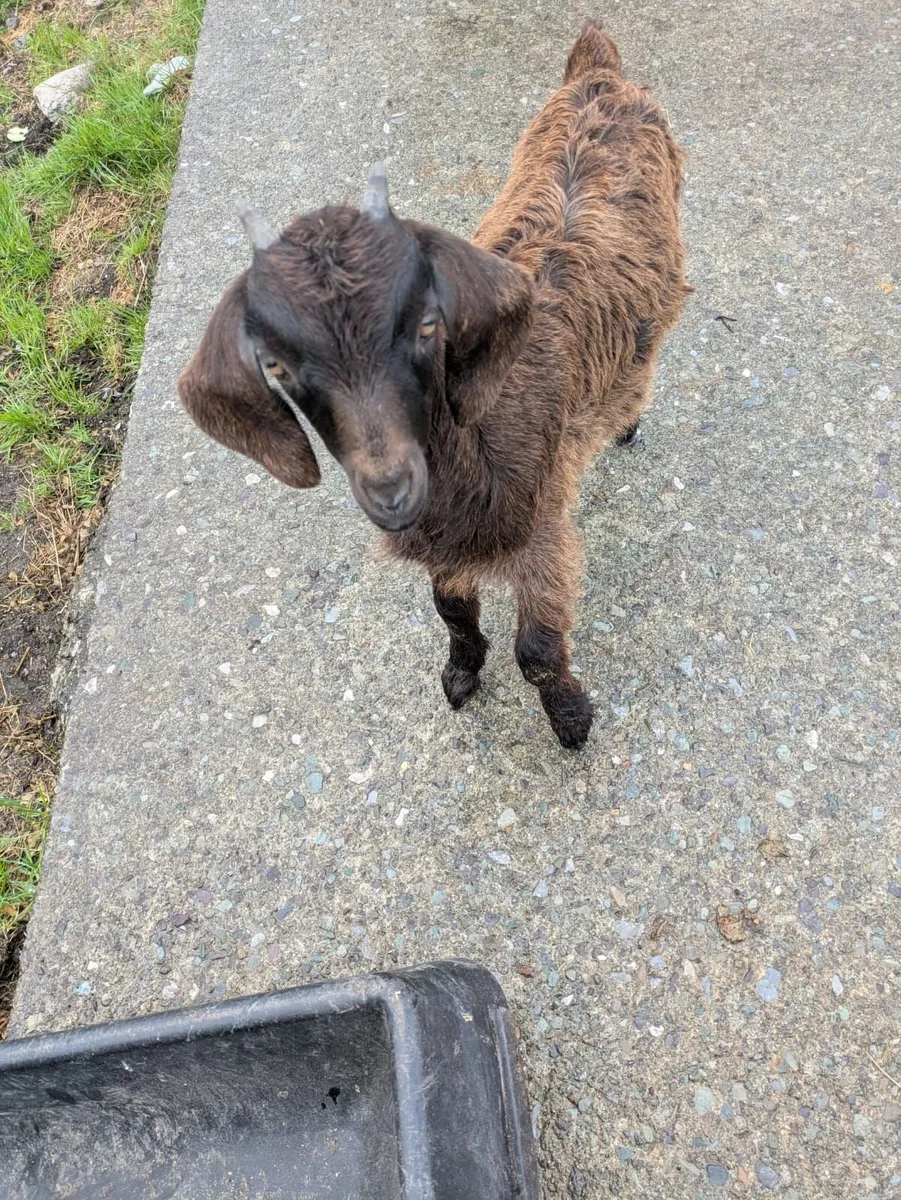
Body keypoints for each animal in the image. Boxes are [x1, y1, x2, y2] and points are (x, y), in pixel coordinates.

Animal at [178, 21, 688, 749]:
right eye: (274, 364)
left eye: (425, 324)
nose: (390, 488)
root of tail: (599, 71)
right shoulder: (446, 546)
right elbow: (449, 607)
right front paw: (461, 673)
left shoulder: (543, 520)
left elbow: (536, 649)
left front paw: (571, 720)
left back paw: (628, 421)